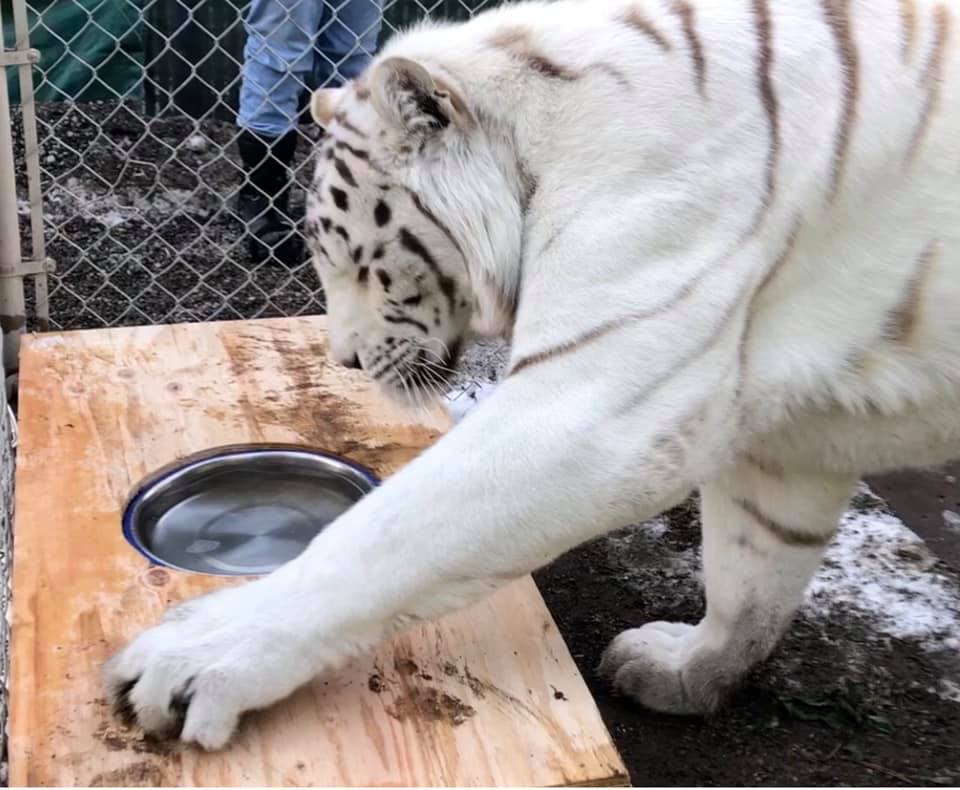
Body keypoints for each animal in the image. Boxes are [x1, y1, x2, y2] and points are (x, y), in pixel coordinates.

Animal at [105, 0, 960, 750]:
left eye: (354, 258)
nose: (343, 359)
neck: (539, 139)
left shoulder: (594, 411)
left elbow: (386, 538)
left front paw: (196, 656)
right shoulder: (784, 449)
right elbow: (752, 574)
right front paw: (687, 671)